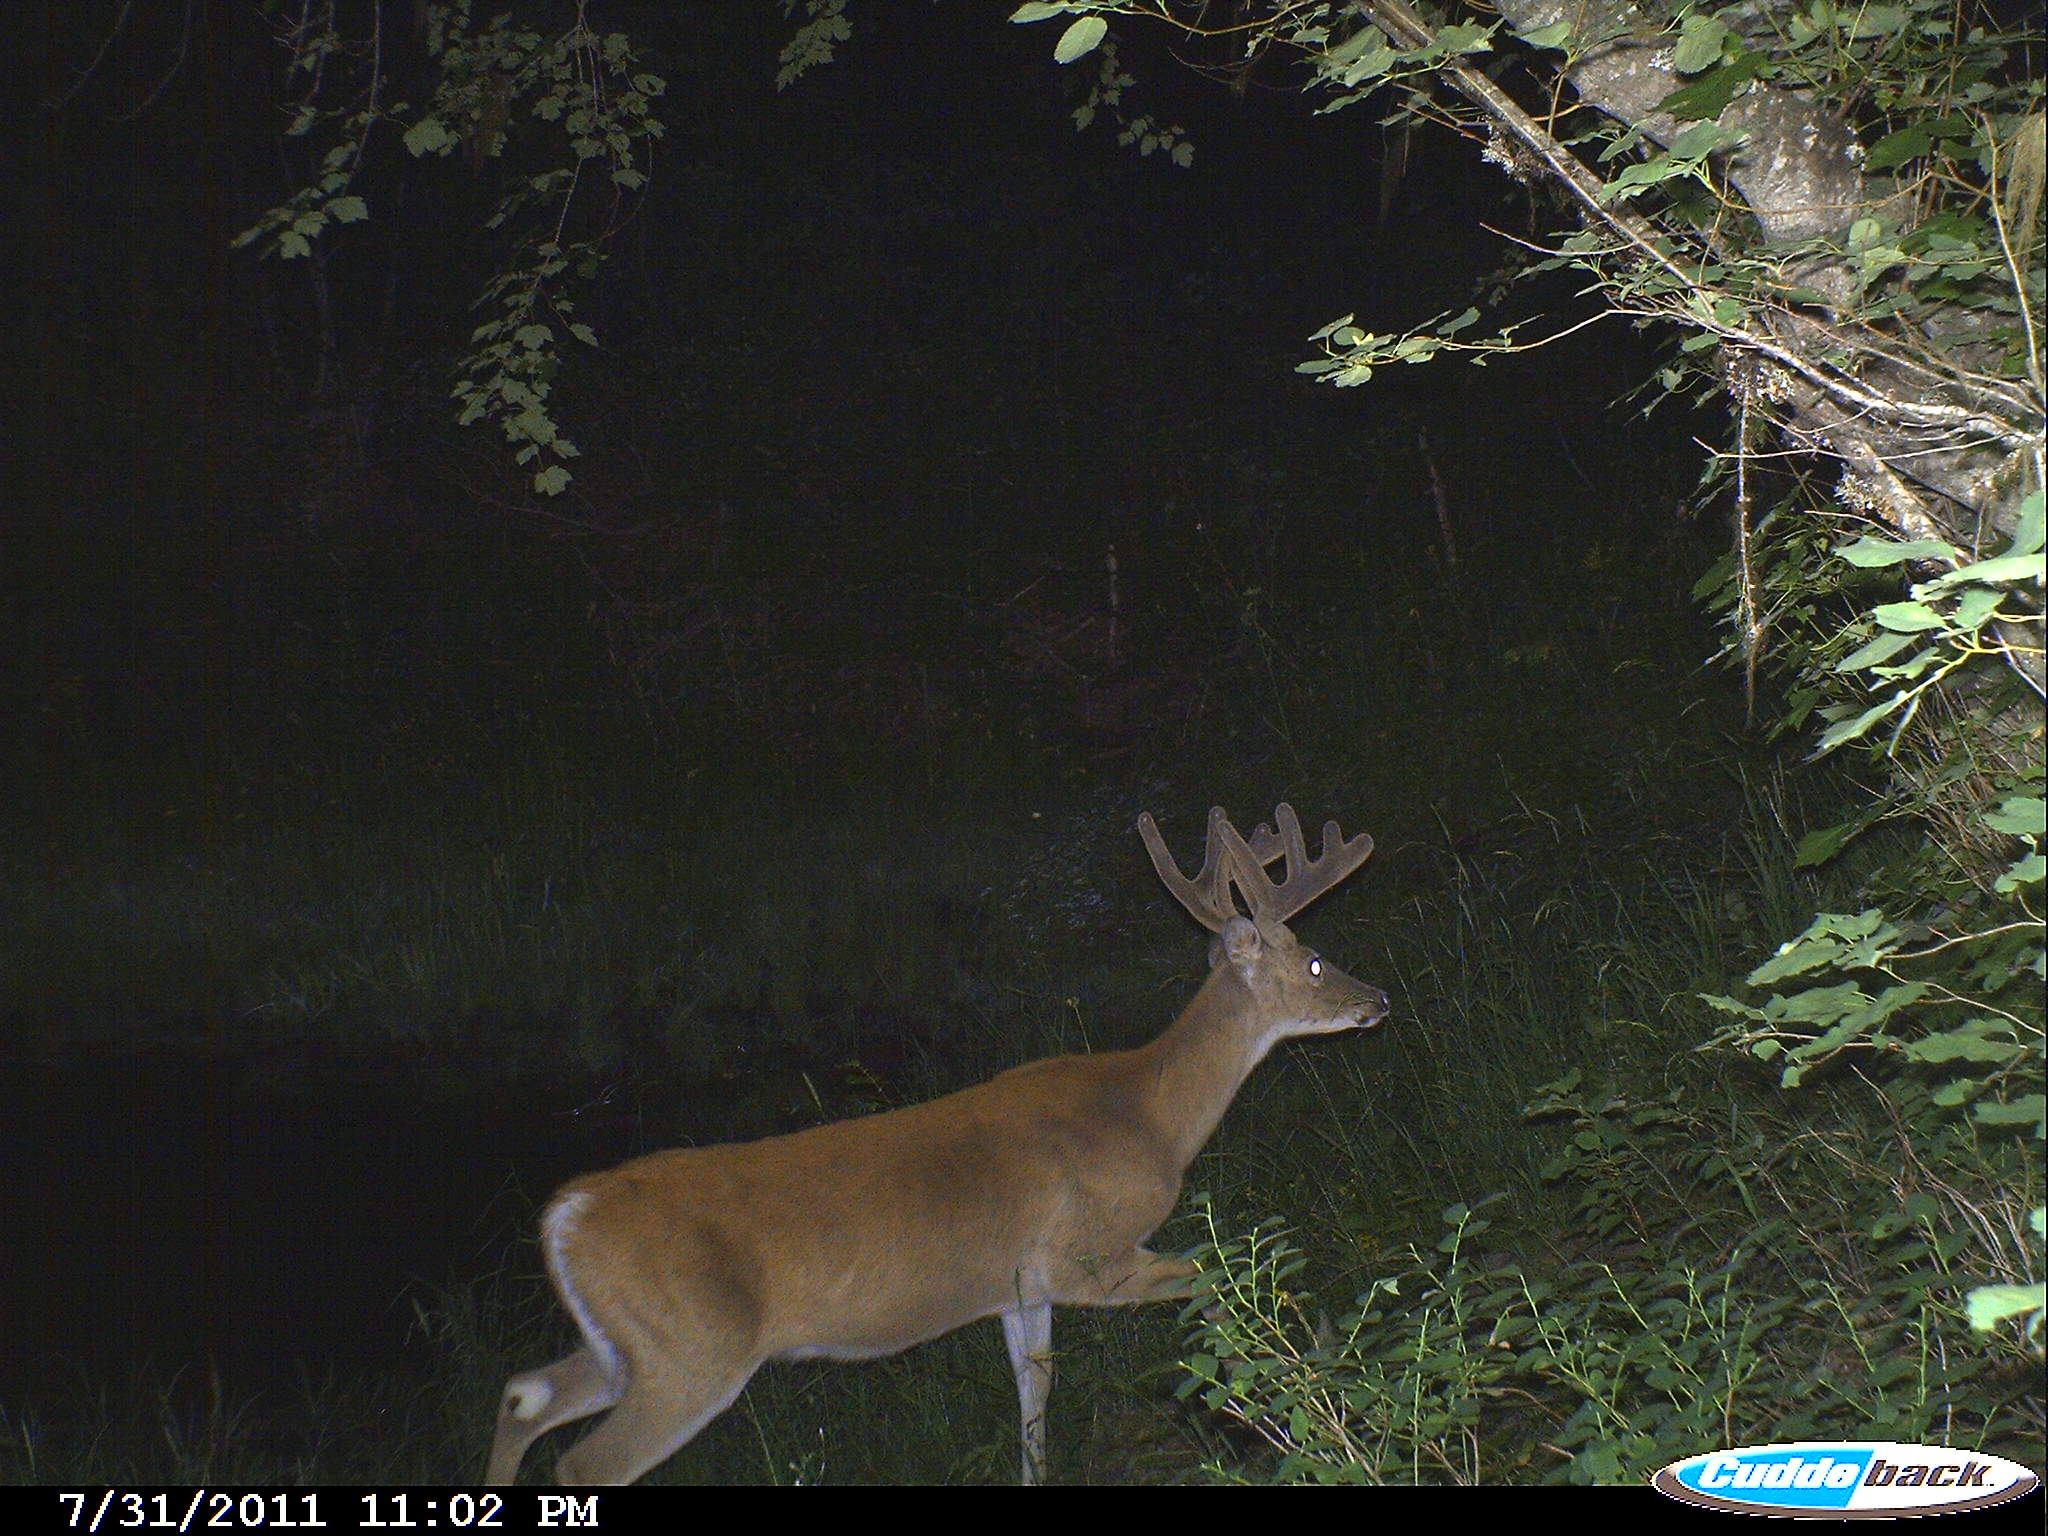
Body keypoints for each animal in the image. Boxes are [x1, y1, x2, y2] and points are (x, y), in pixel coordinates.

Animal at [484, 803, 1387, 1486]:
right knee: (583, 1463)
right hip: (692, 1355)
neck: (1150, 1114)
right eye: (1314, 961)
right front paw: (1298, 1399)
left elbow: (1034, 1396)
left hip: (630, 1347)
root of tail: (565, 1214)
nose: (1375, 1000)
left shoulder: (1021, 1288)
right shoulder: (1088, 1257)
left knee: (523, 1392)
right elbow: (1226, 1282)